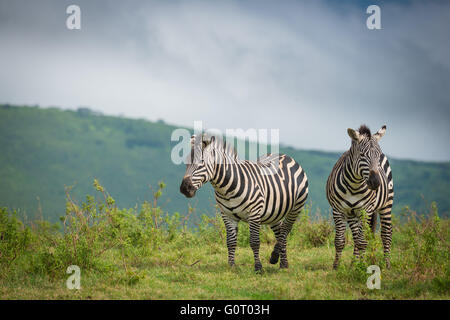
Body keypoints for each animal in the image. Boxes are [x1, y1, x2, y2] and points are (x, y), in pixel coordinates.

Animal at [179, 133, 310, 272]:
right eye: (186, 163)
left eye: (201, 163)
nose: (184, 189)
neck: (227, 188)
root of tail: (284, 155)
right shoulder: (227, 215)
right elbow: (231, 242)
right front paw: (231, 266)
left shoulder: (254, 213)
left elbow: (254, 242)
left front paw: (258, 268)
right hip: (274, 212)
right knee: (280, 232)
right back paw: (281, 262)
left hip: (296, 207)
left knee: (285, 230)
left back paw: (277, 258)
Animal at [326, 124, 394, 268]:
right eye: (362, 155)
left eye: (378, 156)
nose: (376, 183)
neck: (354, 185)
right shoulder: (338, 210)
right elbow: (340, 240)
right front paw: (336, 266)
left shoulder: (366, 210)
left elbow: (363, 242)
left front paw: (362, 267)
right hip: (352, 214)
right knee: (356, 236)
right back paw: (353, 263)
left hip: (386, 204)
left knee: (386, 234)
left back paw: (387, 264)